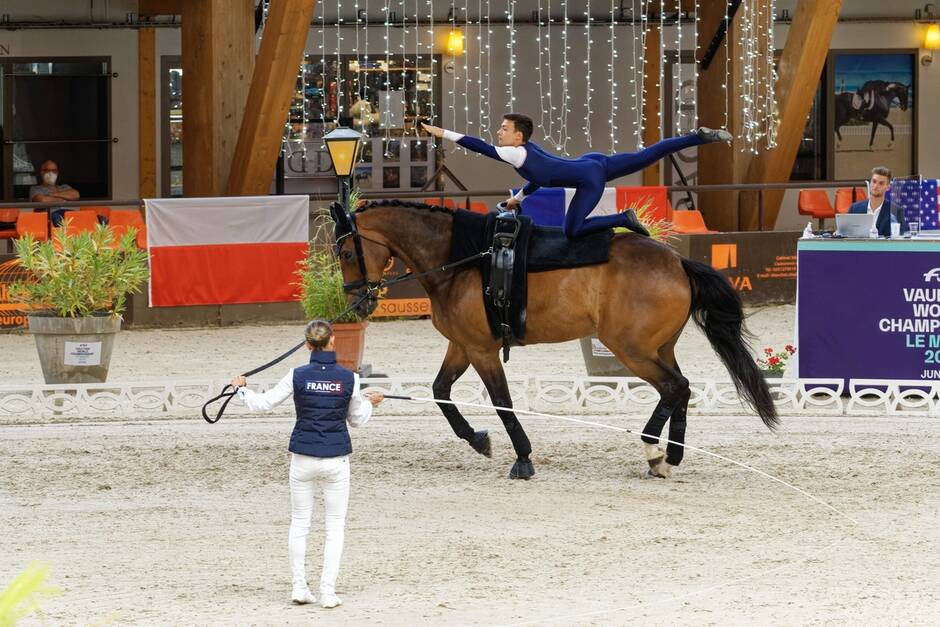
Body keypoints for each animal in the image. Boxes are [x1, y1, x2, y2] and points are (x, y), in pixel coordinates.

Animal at [330, 201, 780, 480]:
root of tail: (677, 261)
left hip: (632, 349)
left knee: (674, 387)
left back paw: (654, 451)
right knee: (681, 390)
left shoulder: (481, 349)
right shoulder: (462, 345)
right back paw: (670, 457)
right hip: (658, 348)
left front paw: (522, 458)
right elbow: (441, 392)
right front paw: (478, 440)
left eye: (347, 253)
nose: (356, 303)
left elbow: (502, 403)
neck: (463, 260)